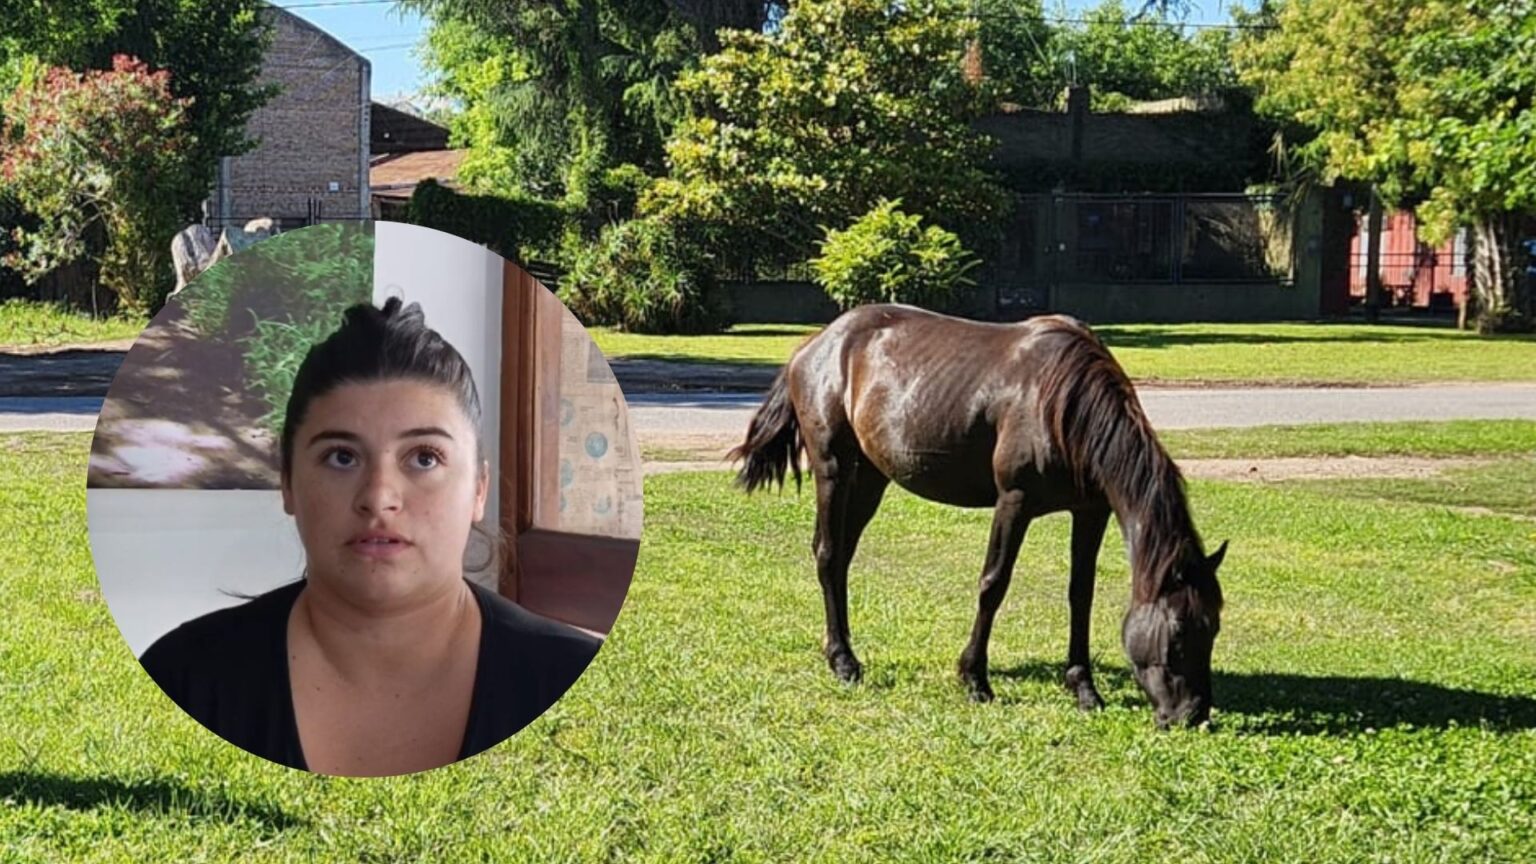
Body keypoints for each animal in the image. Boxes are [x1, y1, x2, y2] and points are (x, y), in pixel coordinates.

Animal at [729, 303, 1227, 729]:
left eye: (1214, 626)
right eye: (1178, 632)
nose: (1193, 715)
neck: (1062, 405)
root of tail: (816, 343)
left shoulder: (1091, 511)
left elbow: (1080, 593)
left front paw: (1083, 687)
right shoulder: (1015, 501)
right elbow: (993, 583)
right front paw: (974, 679)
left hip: (870, 478)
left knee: (842, 558)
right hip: (833, 468)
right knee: (829, 555)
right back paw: (843, 661)